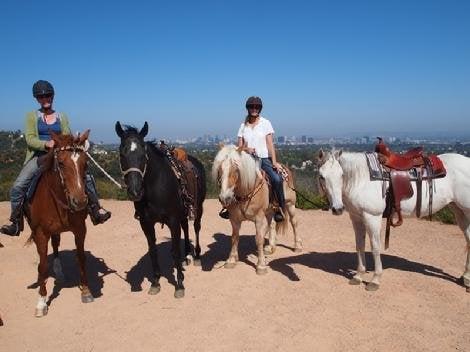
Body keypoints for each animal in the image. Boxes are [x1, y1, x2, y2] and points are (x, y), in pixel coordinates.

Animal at [24, 131, 92, 318]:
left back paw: (58, 270)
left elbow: (81, 258)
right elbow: (42, 266)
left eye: (85, 163)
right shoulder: (40, 233)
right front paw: (41, 302)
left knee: (55, 244)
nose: (80, 201)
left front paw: (86, 291)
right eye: (61, 163)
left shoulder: (80, 229)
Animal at [114, 121, 205, 296]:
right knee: (186, 228)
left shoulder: (173, 221)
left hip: (198, 208)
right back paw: (186, 256)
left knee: (196, 227)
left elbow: (175, 250)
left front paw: (179, 284)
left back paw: (196, 256)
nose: (135, 191)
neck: (156, 186)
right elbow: (152, 251)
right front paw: (156, 282)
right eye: (122, 155)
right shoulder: (146, 223)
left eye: (143, 155)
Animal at [212, 144, 302, 274]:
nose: (225, 198)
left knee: (294, 222)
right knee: (271, 224)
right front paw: (231, 260)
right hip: (269, 210)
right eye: (220, 169)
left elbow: (259, 238)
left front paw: (261, 266)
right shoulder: (234, 219)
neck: (245, 193)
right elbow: (234, 237)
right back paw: (270, 247)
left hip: (290, 204)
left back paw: (297, 246)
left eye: (236, 169)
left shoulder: (259, 218)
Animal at [316, 149, 470, 292]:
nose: (337, 209)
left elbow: (375, 247)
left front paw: (375, 280)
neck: (362, 179)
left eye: (342, 175)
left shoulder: (372, 217)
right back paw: (465, 278)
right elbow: (359, 245)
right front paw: (359, 275)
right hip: (459, 210)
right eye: (322, 177)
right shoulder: (356, 218)